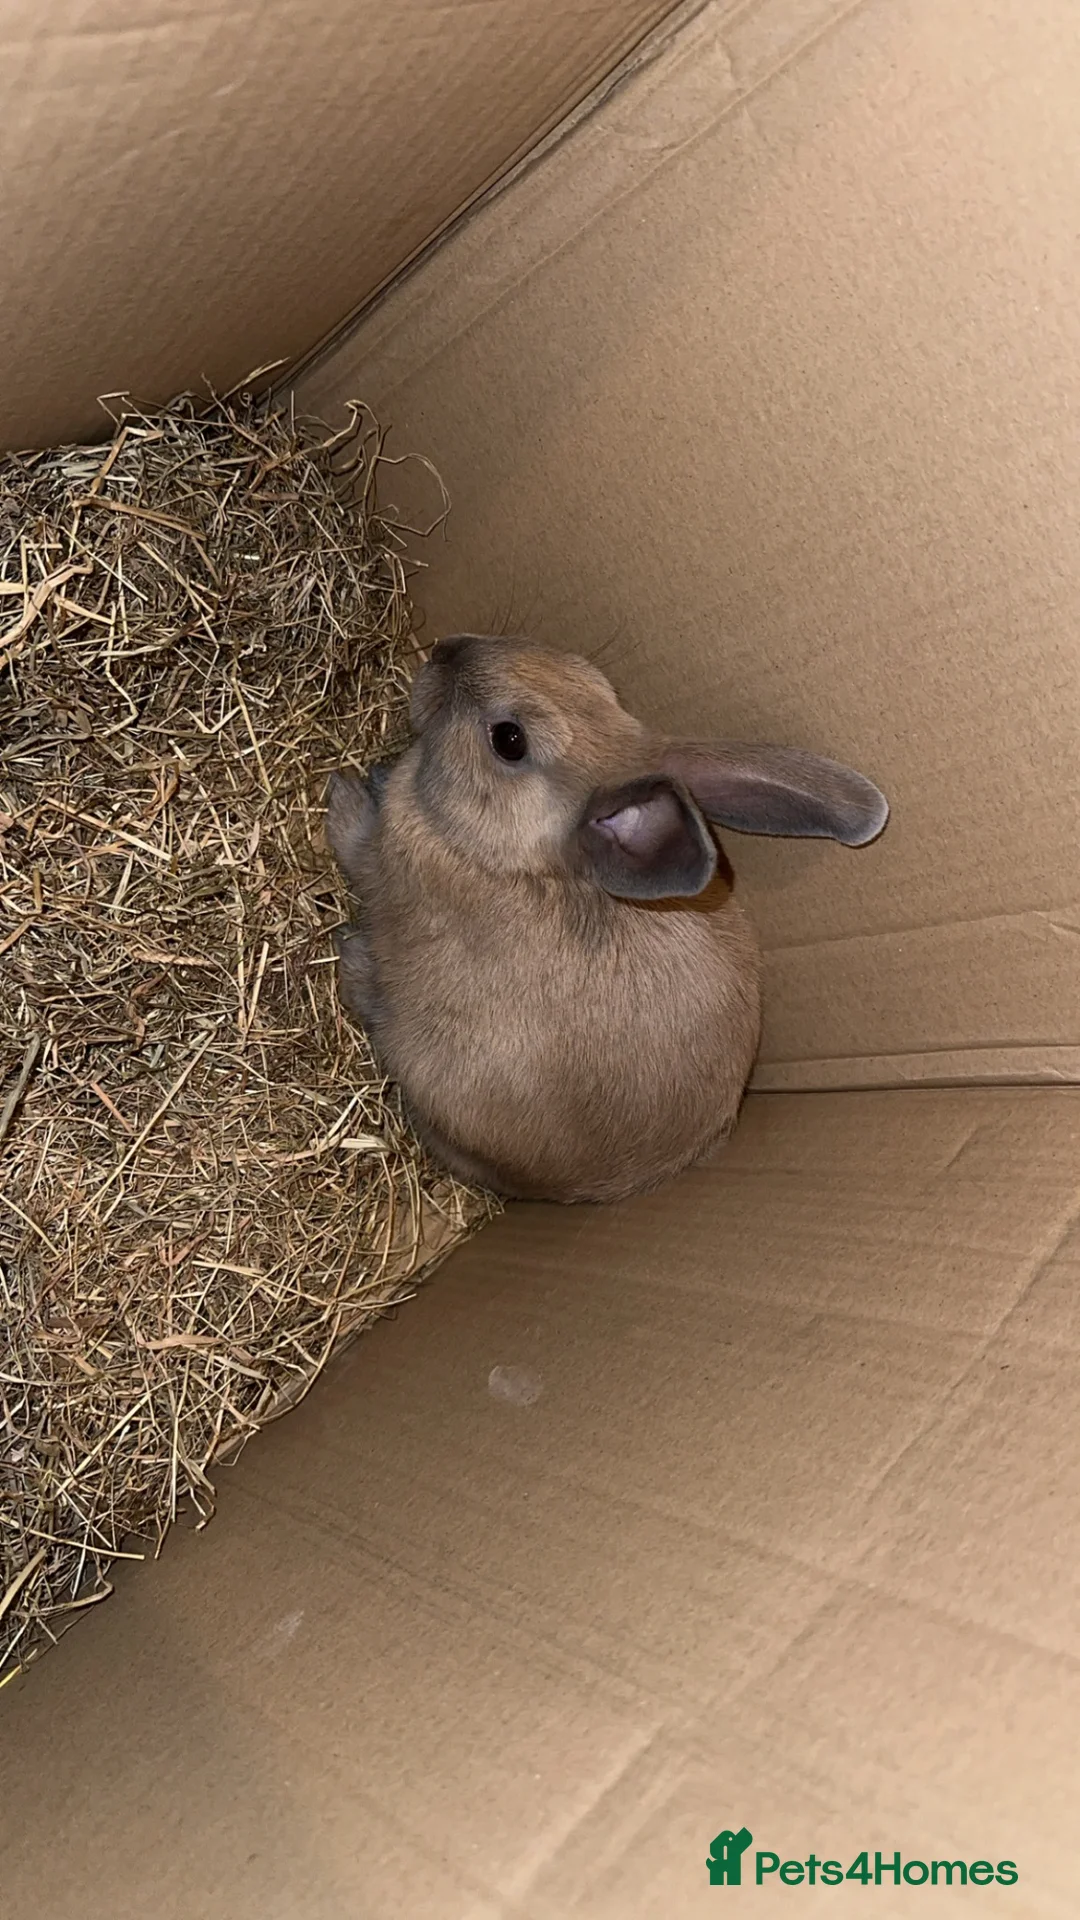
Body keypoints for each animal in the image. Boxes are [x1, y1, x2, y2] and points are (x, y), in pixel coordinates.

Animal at [325, 634, 888, 1205]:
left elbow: (356, 845)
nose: (445, 648)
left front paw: (342, 792)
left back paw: (352, 955)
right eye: (581, 671)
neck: (512, 857)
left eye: (509, 740)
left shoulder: (379, 866)